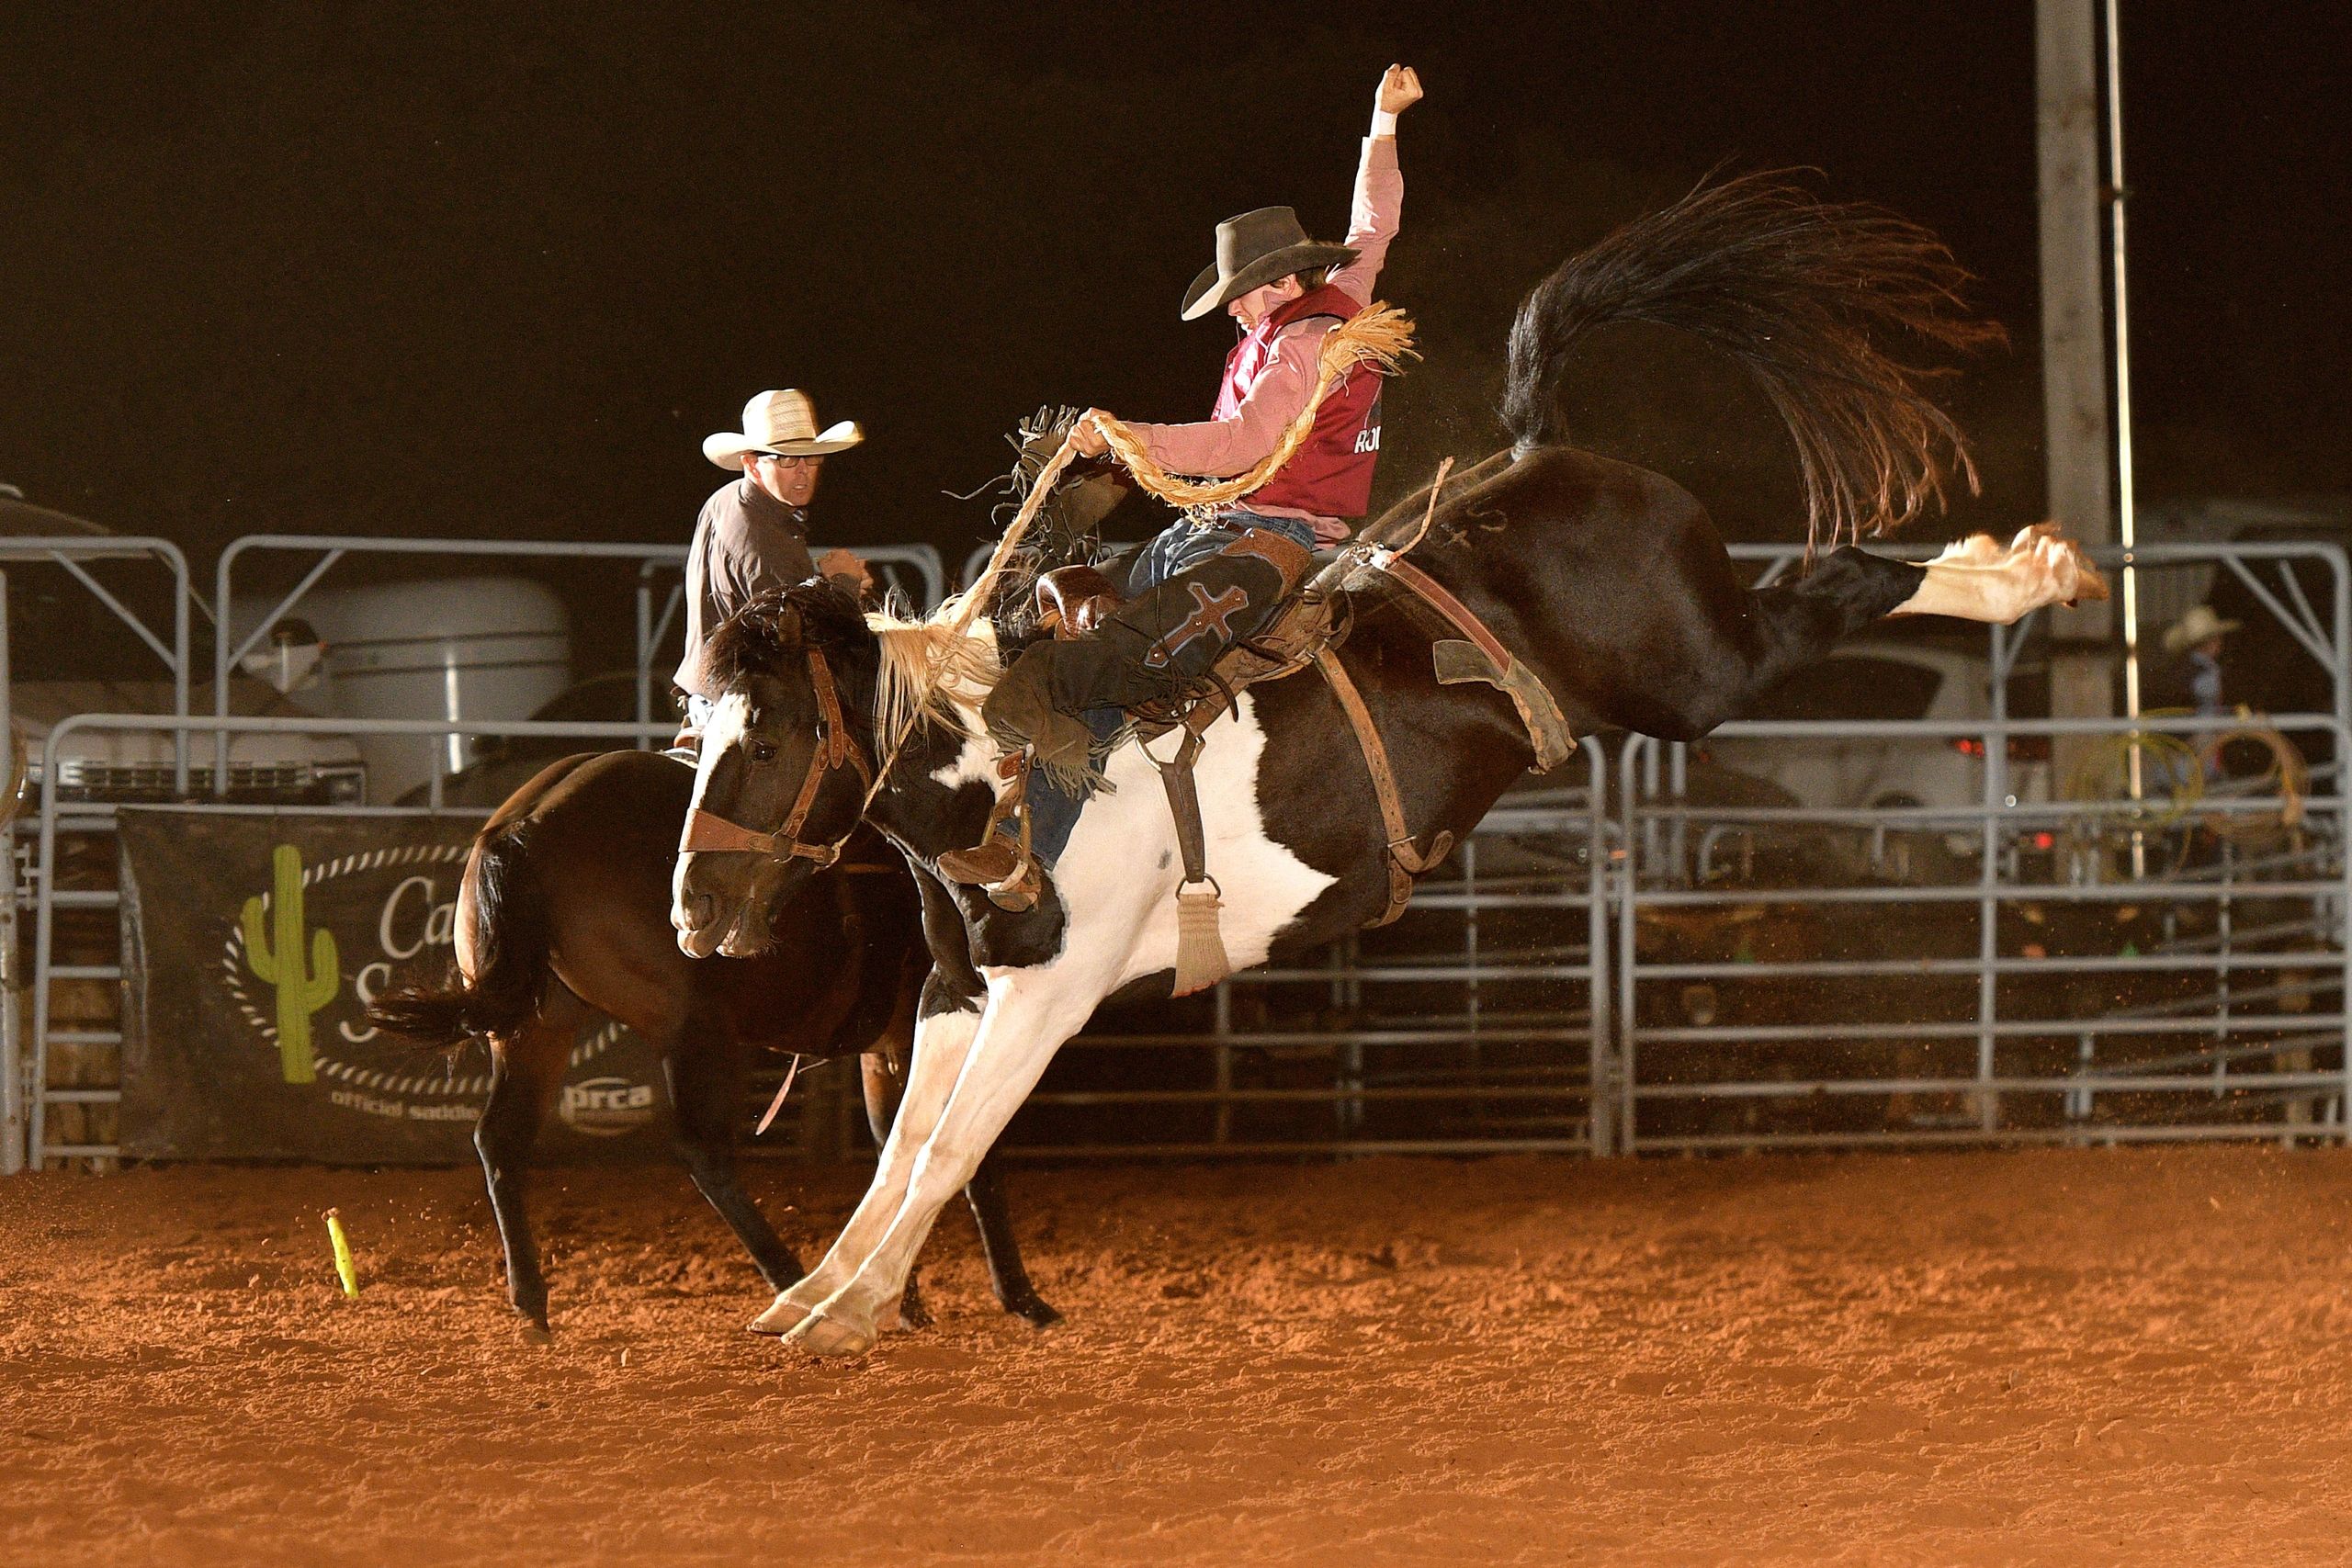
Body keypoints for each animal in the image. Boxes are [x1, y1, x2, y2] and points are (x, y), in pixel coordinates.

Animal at [371, 747, 1063, 1335]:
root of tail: (524, 824)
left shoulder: (887, 1048)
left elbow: (897, 1145)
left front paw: (893, 1296)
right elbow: (969, 1156)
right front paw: (1020, 1298)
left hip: (536, 1027)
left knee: (500, 1140)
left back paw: (532, 1301)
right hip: (694, 1030)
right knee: (702, 1152)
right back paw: (788, 1278)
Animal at [673, 169, 2107, 1354]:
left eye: (775, 734)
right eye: (695, 732)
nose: (693, 908)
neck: (1003, 764)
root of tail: (1534, 450)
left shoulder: (1055, 990)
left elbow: (946, 1151)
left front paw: (847, 1311)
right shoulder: (958, 989)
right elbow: (906, 1148)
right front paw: (822, 1293)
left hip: (1701, 669)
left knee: (1847, 580)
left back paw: (2033, 568)